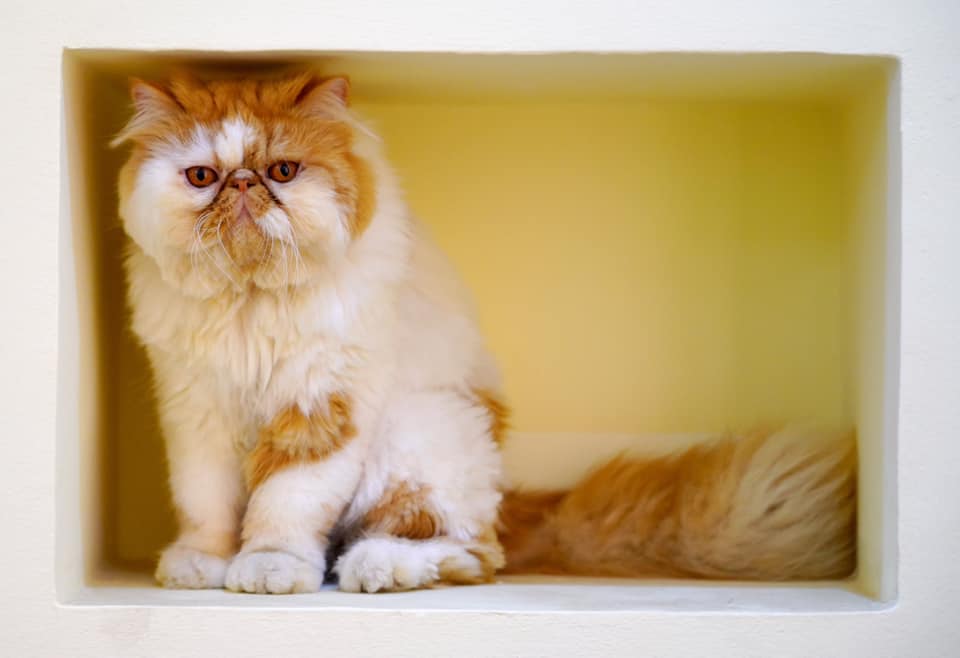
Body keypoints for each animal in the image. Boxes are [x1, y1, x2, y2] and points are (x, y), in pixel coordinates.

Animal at [114, 73, 856, 596]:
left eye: (283, 172)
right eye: (202, 177)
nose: (243, 186)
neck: (250, 303)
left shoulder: (323, 406)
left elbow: (283, 505)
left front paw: (269, 568)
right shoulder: (196, 412)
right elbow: (207, 504)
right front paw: (202, 565)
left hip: (416, 438)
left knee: (468, 551)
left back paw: (379, 567)